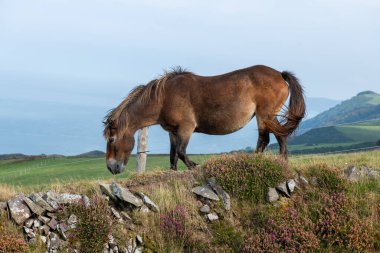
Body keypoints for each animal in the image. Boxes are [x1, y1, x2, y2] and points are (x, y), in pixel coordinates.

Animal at [103, 65, 306, 174]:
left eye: (112, 139)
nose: (111, 168)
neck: (164, 97)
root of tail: (280, 74)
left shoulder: (186, 128)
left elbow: (182, 152)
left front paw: (195, 166)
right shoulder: (173, 132)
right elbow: (173, 155)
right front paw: (174, 172)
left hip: (264, 115)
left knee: (265, 139)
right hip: (269, 116)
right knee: (280, 136)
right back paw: (282, 161)